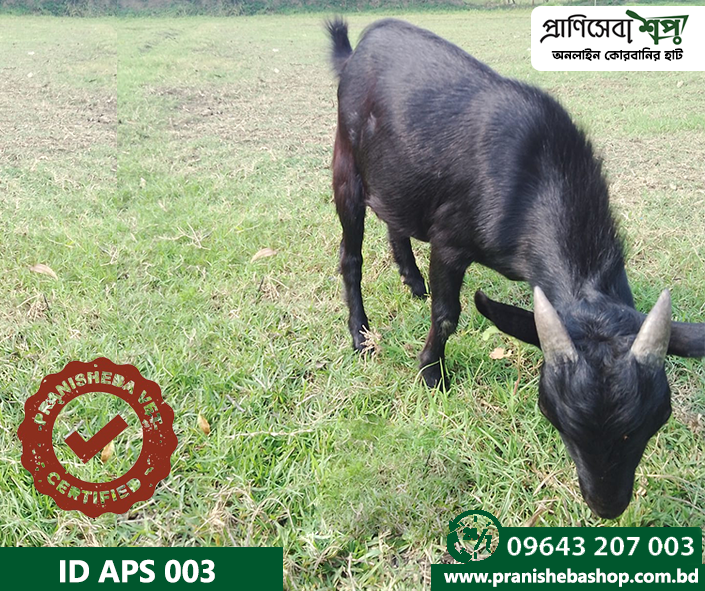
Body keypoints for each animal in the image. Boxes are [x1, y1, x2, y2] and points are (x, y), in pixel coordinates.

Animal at [326, 18, 704, 519]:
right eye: (551, 413)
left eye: (659, 417)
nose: (607, 505)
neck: (539, 176)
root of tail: (359, 47)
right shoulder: (450, 240)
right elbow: (447, 315)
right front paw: (431, 376)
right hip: (346, 161)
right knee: (351, 253)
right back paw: (361, 335)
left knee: (396, 217)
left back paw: (412, 279)